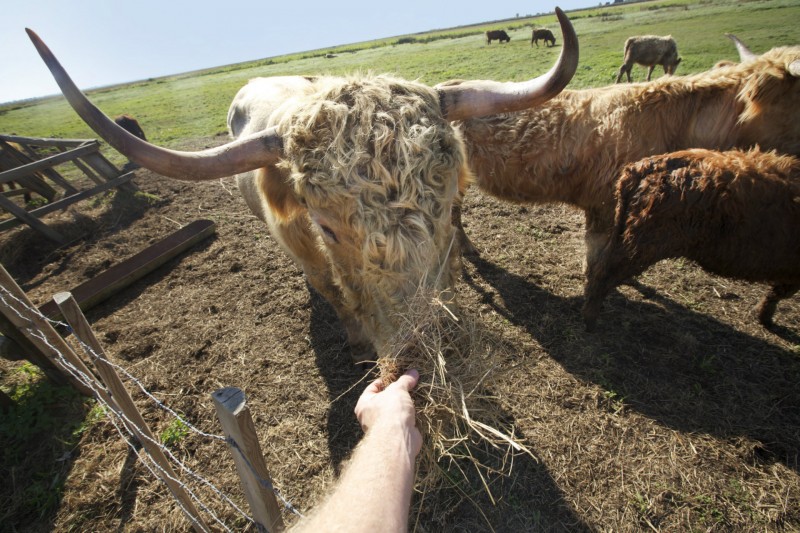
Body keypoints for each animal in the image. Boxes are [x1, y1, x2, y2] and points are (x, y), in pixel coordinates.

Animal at [25, 9, 576, 366]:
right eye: (327, 228)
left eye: (443, 207)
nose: (427, 345)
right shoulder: (303, 246)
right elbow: (330, 287)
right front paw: (356, 339)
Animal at [580, 147, 800, 328]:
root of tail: (642, 167)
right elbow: (779, 292)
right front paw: (764, 318)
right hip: (643, 244)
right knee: (603, 273)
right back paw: (590, 320)